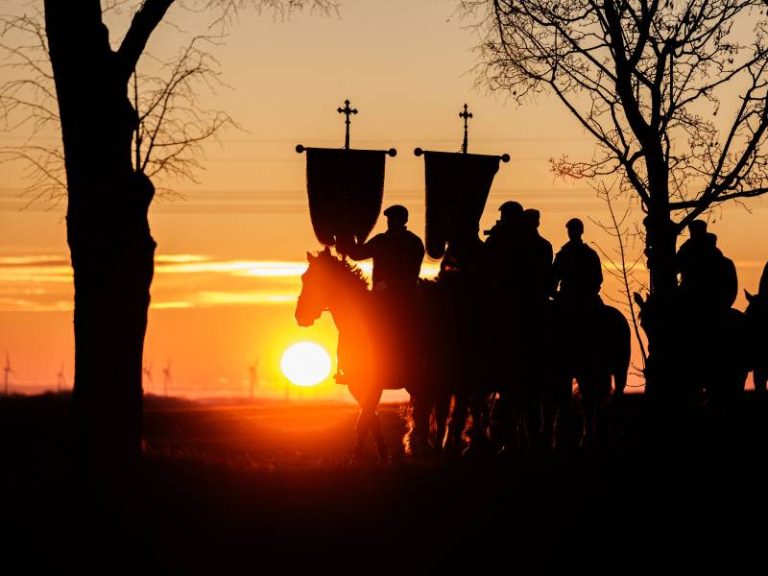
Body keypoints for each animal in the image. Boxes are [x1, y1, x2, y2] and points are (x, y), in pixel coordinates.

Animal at [295, 248, 442, 459]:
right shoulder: (356, 384)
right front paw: (381, 454)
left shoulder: (374, 384)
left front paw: (358, 458)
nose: (300, 316)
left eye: (316, 279)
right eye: (304, 278)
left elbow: (365, 420)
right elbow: (370, 418)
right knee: (424, 411)